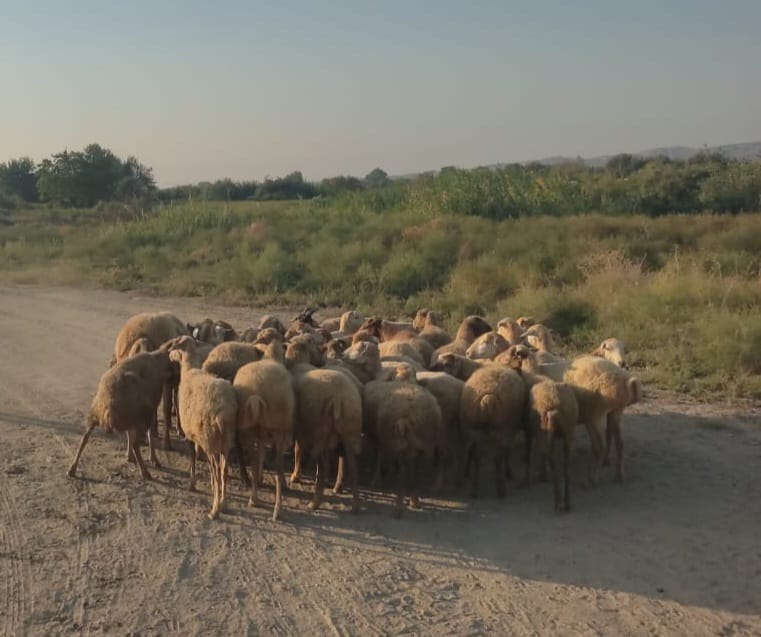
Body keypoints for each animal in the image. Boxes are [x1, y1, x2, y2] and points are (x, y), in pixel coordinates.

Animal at [67, 340, 175, 480]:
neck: (157, 360)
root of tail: (109, 408)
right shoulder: (150, 409)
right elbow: (150, 434)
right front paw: (153, 459)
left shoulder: (133, 418)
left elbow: (130, 433)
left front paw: (129, 457)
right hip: (142, 415)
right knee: (136, 444)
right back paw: (145, 473)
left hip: (95, 412)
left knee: (84, 438)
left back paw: (72, 469)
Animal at [171, 338, 239, 516]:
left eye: (175, 345)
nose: (169, 354)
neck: (189, 369)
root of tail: (223, 414)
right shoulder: (198, 437)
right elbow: (197, 452)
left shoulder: (189, 434)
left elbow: (193, 456)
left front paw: (192, 483)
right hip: (225, 441)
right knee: (224, 471)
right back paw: (223, 503)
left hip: (211, 441)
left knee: (216, 472)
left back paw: (215, 509)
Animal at [233, 340, 292, 520]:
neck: (270, 356)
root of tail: (256, 396)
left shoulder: (260, 434)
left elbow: (260, 453)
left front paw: (259, 477)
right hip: (278, 430)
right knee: (279, 469)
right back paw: (277, 509)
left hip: (247, 429)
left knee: (252, 461)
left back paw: (253, 498)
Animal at [284, 338, 362, 512]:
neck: (299, 362)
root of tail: (339, 398)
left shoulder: (301, 428)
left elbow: (298, 450)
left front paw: (295, 476)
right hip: (350, 431)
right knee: (352, 466)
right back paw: (354, 504)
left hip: (319, 432)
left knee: (324, 466)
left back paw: (315, 502)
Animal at [458, 362, 528, 496]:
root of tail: (488, 399)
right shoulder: (509, 431)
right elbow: (506, 452)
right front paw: (508, 472)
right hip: (502, 429)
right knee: (498, 458)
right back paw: (501, 489)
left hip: (472, 429)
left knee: (475, 456)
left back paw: (474, 489)